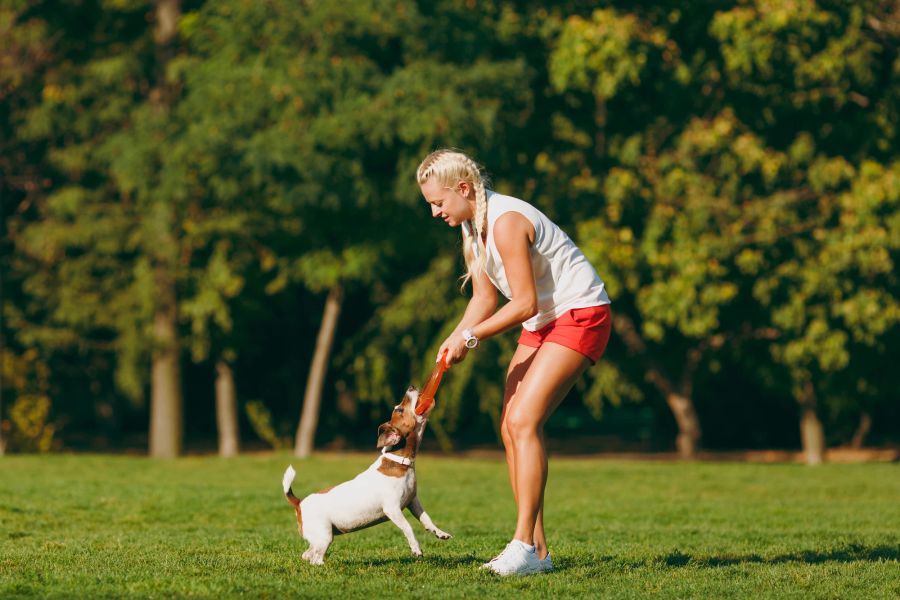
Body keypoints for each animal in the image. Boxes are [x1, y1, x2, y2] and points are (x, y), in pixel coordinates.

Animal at [282, 384, 450, 564]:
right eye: (399, 409)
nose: (411, 387)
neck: (400, 462)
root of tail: (299, 503)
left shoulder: (413, 501)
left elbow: (426, 519)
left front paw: (439, 532)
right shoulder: (392, 509)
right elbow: (408, 527)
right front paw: (416, 548)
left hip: (319, 538)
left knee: (307, 554)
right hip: (325, 537)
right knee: (315, 559)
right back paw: (324, 566)